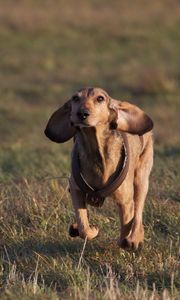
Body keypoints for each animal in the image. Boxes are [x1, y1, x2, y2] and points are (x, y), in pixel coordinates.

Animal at [45, 87, 153, 251]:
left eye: (100, 98)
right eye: (75, 98)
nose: (82, 113)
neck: (96, 150)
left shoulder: (125, 202)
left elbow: (126, 228)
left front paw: (128, 240)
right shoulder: (76, 190)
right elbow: (84, 227)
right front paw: (90, 229)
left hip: (141, 179)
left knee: (138, 211)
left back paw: (135, 237)